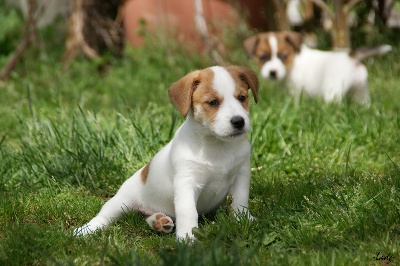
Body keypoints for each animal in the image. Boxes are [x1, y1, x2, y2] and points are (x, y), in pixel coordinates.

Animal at [73, 65, 258, 241]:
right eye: (213, 102)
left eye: (242, 98)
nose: (238, 121)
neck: (217, 145)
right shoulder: (186, 182)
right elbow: (188, 212)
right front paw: (187, 238)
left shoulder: (241, 176)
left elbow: (240, 201)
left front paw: (244, 220)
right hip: (121, 201)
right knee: (104, 216)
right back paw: (85, 230)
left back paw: (158, 221)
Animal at [242, 31, 392, 105]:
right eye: (263, 57)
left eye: (283, 56)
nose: (272, 72)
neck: (294, 60)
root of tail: (350, 57)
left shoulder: (296, 90)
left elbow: (295, 101)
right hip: (361, 90)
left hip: (333, 91)